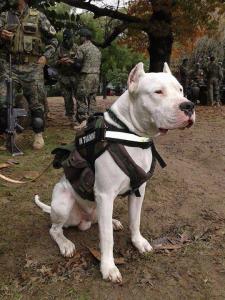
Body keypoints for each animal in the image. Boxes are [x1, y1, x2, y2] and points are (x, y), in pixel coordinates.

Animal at [35, 62, 195, 282]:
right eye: (158, 92)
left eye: (180, 90)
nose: (189, 106)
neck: (132, 134)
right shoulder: (105, 193)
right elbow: (107, 239)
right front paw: (108, 267)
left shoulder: (138, 191)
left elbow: (135, 221)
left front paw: (138, 242)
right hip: (63, 203)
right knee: (55, 229)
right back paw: (65, 243)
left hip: (97, 208)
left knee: (99, 221)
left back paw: (112, 221)